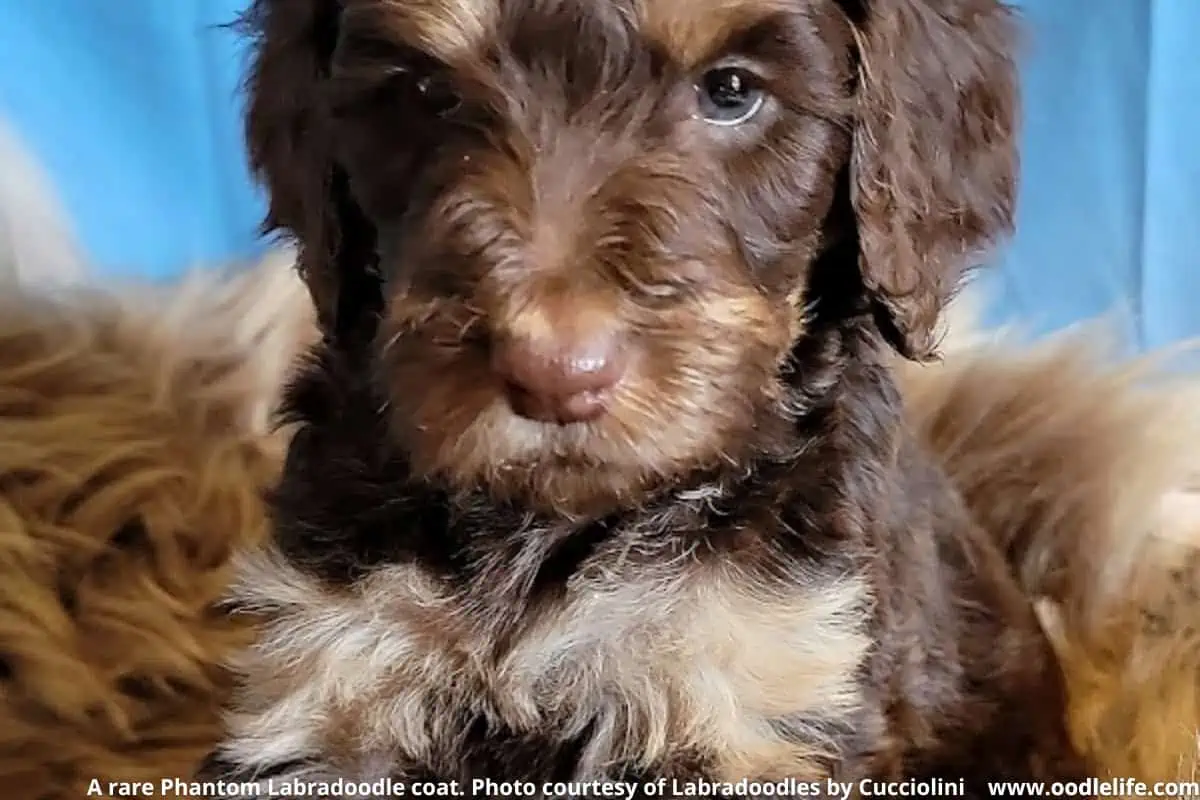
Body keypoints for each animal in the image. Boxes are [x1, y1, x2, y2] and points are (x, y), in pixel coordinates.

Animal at [211, 0, 1094, 796]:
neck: (551, 525)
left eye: (731, 91)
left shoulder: (760, 688)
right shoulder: (333, 679)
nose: (556, 373)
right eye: (429, 93)